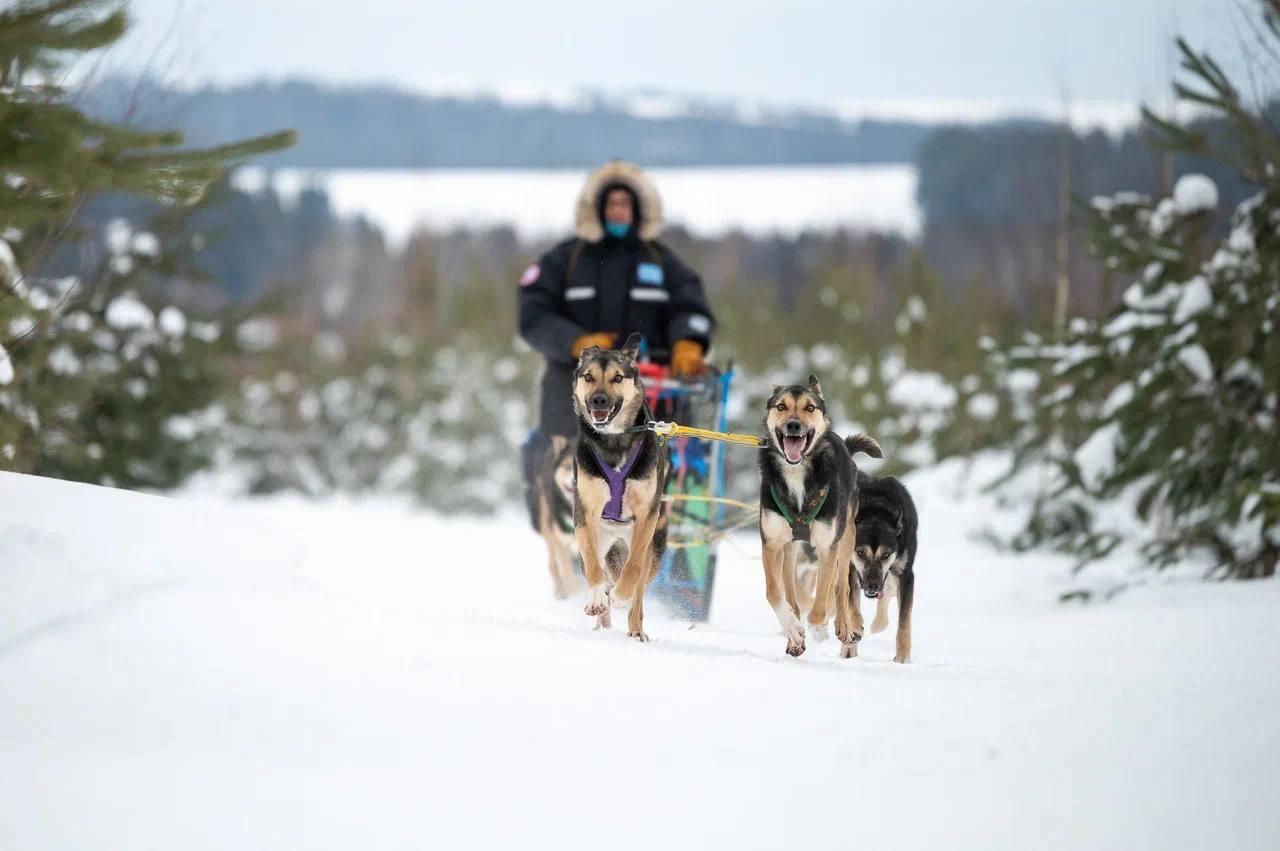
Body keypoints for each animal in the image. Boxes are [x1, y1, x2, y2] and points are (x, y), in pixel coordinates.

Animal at [519, 437, 581, 596]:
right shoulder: (562, 541)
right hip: (549, 530)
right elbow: (567, 572)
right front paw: (575, 594)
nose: (574, 480)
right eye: (567, 466)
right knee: (553, 565)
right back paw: (560, 591)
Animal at [573, 332, 670, 637]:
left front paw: (619, 594)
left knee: (639, 590)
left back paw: (635, 629)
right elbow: (593, 566)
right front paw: (597, 596)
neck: (614, 442)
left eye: (617, 377)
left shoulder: (646, 517)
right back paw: (602, 617)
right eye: (588, 377)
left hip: (652, 547)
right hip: (601, 537)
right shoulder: (586, 513)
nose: (598, 401)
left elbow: (634, 569)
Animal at [757, 376, 880, 655]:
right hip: (790, 549)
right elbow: (774, 593)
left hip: (846, 540)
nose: (793, 425)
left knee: (841, 586)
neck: (796, 472)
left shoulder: (827, 545)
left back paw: (844, 626)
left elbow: (824, 598)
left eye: (810, 408)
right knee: (791, 592)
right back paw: (794, 635)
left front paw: (819, 625)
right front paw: (793, 630)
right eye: (781, 406)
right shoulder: (771, 543)